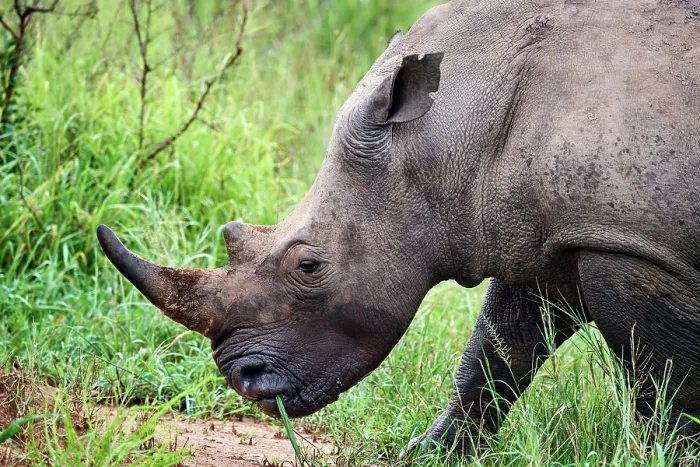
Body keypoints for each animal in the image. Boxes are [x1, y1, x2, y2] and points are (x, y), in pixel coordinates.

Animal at [97, 0, 700, 454]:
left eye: (309, 265)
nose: (243, 381)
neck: (452, 126)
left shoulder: (631, 246)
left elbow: (668, 383)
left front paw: (673, 455)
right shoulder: (546, 232)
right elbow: (496, 353)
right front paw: (430, 453)